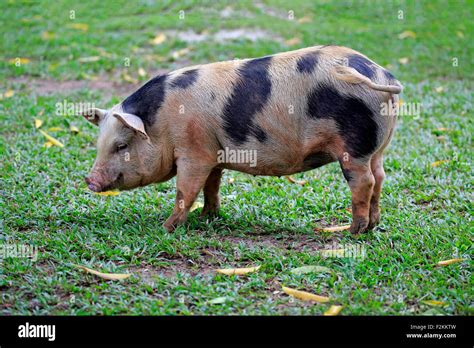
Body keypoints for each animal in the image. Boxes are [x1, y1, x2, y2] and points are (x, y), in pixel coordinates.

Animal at [83, 44, 402, 234]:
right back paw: (372, 225)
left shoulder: (194, 152)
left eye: (121, 145)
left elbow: (185, 191)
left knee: (364, 182)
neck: (161, 122)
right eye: (99, 145)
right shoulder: (213, 153)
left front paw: (166, 227)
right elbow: (212, 186)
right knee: (380, 176)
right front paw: (208, 217)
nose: (89, 181)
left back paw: (354, 231)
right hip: (377, 147)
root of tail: (380, 74)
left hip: (354, 147)